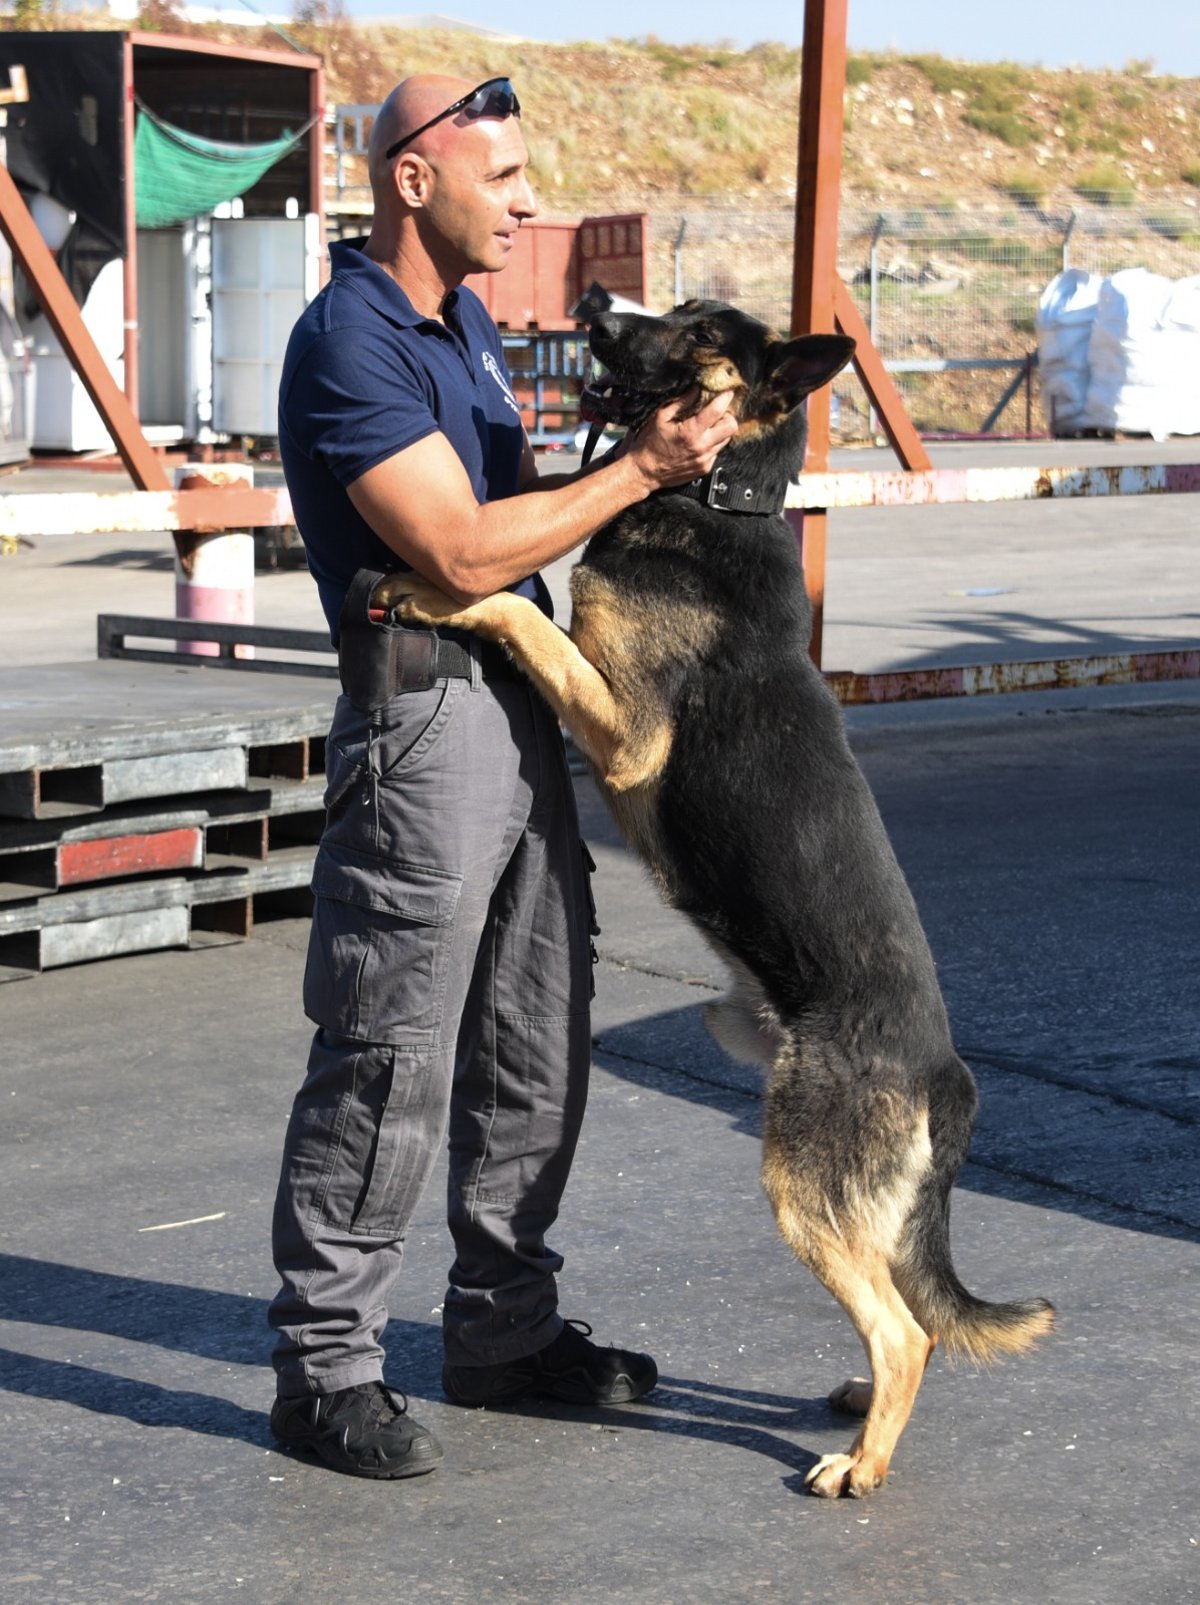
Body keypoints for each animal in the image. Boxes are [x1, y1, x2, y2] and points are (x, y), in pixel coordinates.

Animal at [372, 298, 1052, 1489]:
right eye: (677, 313)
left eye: (697, 336)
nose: (594, 311)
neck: (716, 493)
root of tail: (946, 1074)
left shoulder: (624, 730)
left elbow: (526, 614)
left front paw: (439, 587)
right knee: (903, 1312)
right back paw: (862, 1411)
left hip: (799, 1182)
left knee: (906, 1330)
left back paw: (862, 1464)